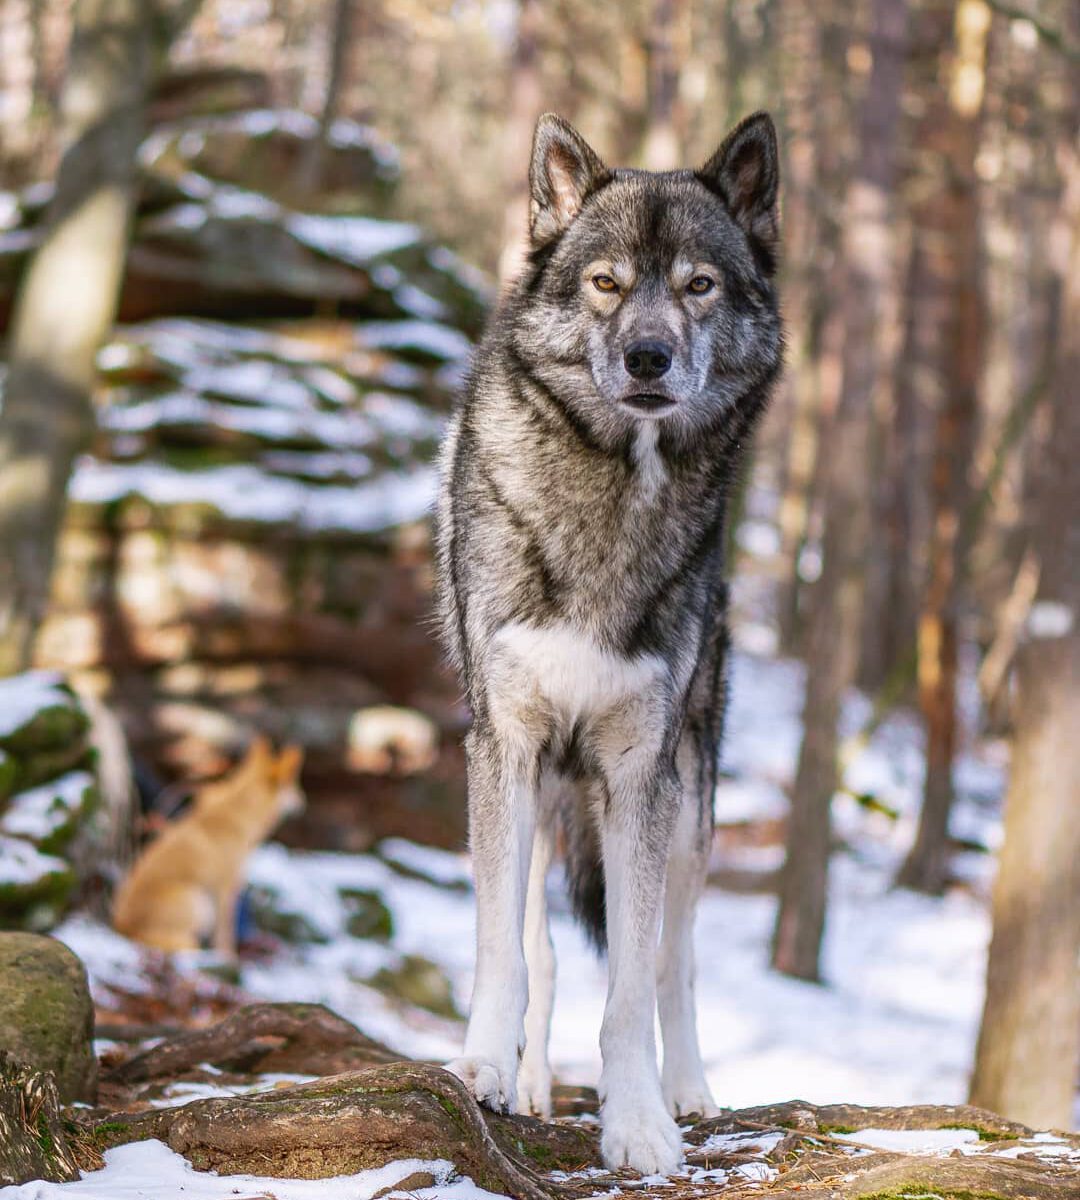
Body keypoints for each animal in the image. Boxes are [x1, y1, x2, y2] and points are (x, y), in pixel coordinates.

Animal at [112, 734, 303, 950]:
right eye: (295, 785)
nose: (303, 801)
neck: (240, 811)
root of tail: (122, 925)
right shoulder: (226, 887)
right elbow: (225, 936)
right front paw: (228, 954)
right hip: (200, 904)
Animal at [434, 110, 782, 1171]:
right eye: (606, 282)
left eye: (699, 285)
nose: (648, 358)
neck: (615, 494)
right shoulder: (503, 745)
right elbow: (504, 950)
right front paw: (485, 1072)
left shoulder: (641, 773)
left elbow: (633, 986)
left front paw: (637, 1122)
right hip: (545, 793)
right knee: (542, 948)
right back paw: (530, 1082)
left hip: (692, 805)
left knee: (676, 960)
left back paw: (692, 1092)